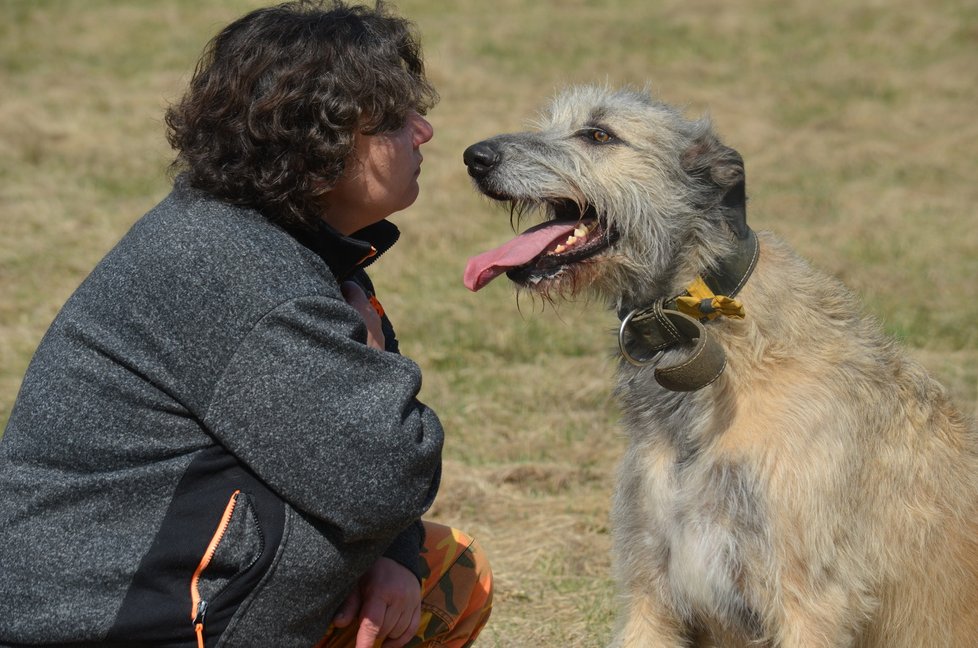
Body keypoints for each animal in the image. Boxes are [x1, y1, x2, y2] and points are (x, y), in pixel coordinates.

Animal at [462, 87, 976, 648]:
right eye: (549, 123)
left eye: (598, 134)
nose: (475, 156)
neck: (702, 322)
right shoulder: (651, 587)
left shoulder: (808, 598)